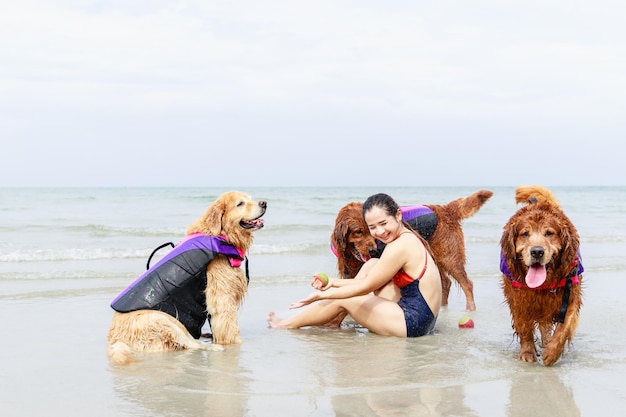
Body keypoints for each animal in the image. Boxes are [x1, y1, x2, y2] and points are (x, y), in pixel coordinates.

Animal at [105, 191, 266, 364]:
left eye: (250, 199)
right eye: (240, 203)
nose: (264, 203)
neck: (221, 235)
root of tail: (116, 341)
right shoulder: (222, 298)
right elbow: (228, 325)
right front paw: (235, 343)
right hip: (164, 320)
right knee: (191, 343)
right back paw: (213, 346)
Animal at [332, 190, 492, 310]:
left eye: (370, 231)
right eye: (358, 232)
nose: (373, 250)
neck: (350, 254)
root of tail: (445, 209)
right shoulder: (348, 269)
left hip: (449, 257)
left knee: (467, 284)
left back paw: (470, 309)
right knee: (446, 282)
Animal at [498, 185, 580, 364]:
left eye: (549, 233)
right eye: (525, 233)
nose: (537, 251)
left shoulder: (570, 292)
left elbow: (565, 325)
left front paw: (552, 352)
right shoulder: (518, 297)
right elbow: (524, 326)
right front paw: (528, 352)